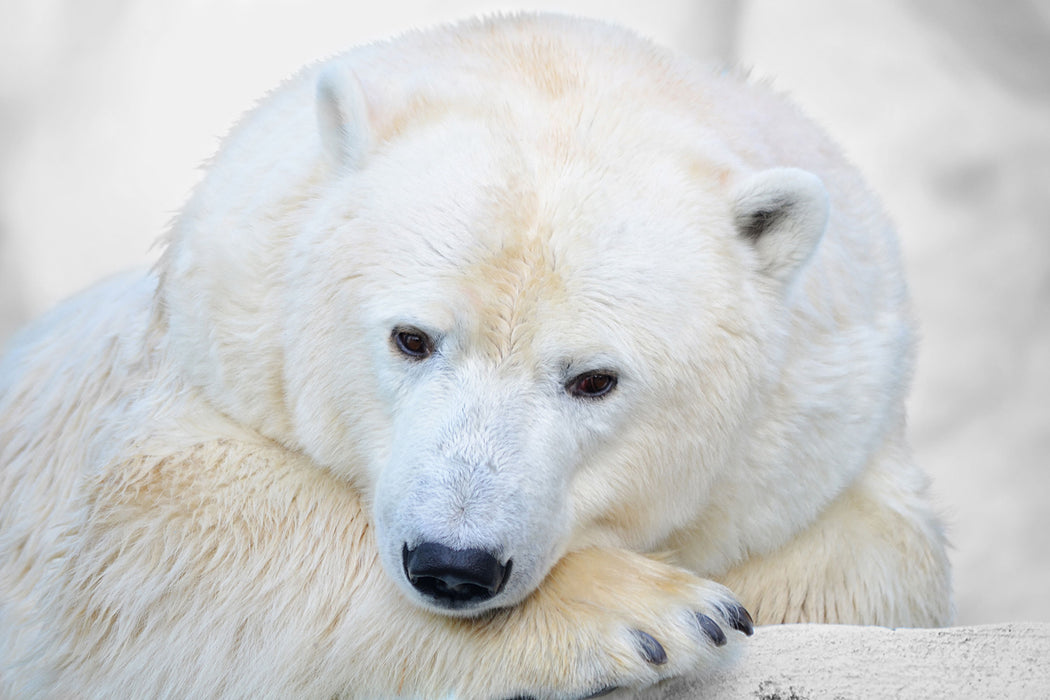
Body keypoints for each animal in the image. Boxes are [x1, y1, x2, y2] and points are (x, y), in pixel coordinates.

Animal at [0, 12, 953, 700]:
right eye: (411, 338)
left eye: (594, 379)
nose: (454, 565)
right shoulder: (210, 357)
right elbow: (164, 531)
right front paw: (655, 614)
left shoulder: (815, 439)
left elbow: (872, 563)